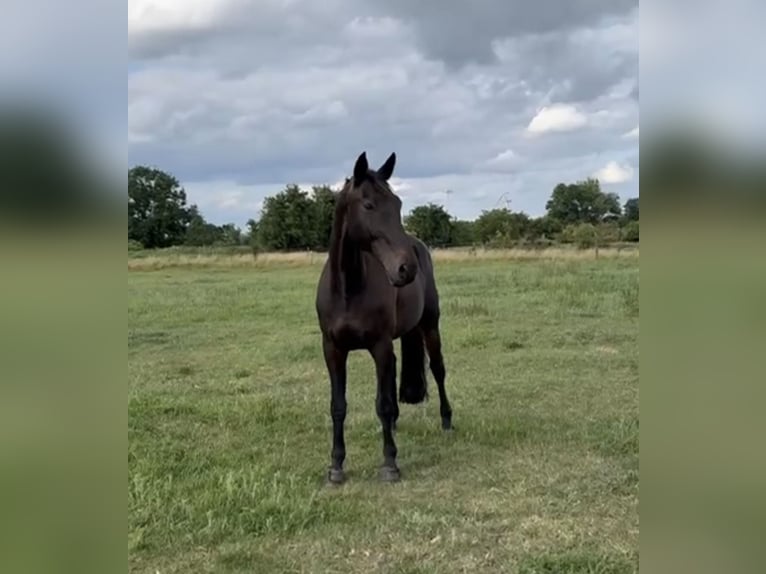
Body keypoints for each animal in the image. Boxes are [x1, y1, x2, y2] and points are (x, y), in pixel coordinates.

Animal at [315, 151, 453, 484]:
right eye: (368, 205)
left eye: (398, 204)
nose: (406, 268)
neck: (349, 289)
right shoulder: (333, 350)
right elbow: (338, 406)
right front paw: (336, 466)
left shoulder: (379, 346)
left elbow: (384, 404)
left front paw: (390, 463)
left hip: (430, 327)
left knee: (438, 370)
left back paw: (446, 421)